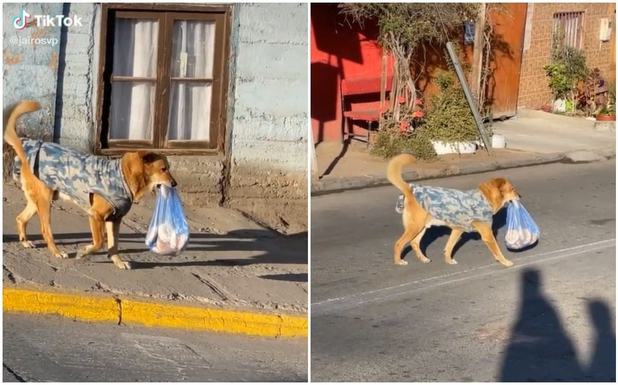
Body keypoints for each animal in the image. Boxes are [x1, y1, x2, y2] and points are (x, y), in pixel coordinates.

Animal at [4, 100, 177, 268]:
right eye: (163, 169)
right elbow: (99, 242)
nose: (174, 184)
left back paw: (25, 241)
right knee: (45, 230)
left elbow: (114, 245)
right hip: (45, 202)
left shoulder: (114, 220)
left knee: (21, 219)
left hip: (39, 201)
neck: (123, 175)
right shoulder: (95, 215)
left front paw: (118, 261)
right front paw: (84, 252)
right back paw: (56, 251)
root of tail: (25, 149)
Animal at [388, 153, 516, 268]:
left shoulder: (457, 230)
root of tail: (410, 190)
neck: (485, 198)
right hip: (415, 227)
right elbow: (497, 250)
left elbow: (449, 247)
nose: (519, 196)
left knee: (414, 243)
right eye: (512, 189)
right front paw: (505, 262)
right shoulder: (487, 235)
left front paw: (448, 260)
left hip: (422, 227)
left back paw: (424, 259)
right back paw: (399, 261)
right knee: (399, 243)